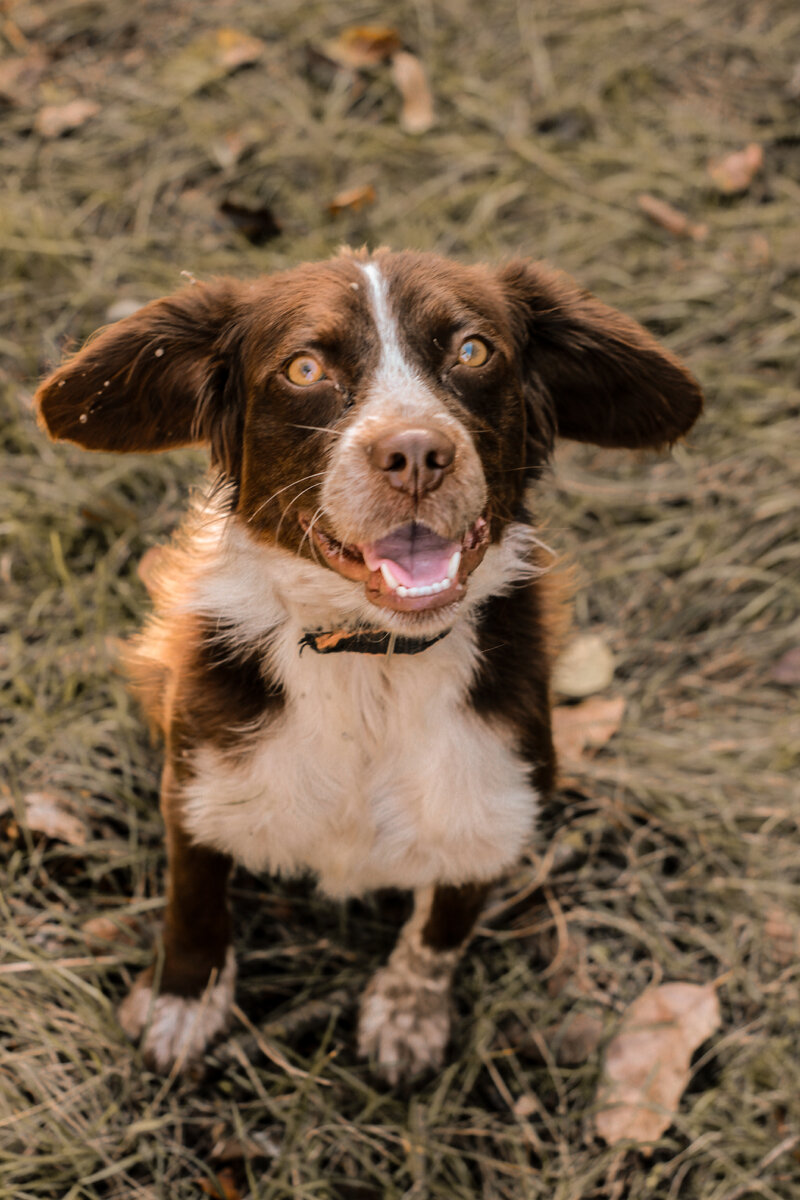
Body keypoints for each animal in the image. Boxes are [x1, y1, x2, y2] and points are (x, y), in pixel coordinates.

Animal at [35, 248, 700, 1084]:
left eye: (472, 351)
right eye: (305, 367)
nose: (416, 454)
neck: (371, 660)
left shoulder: (494, 799)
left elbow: (446, 921)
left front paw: (408, 1013)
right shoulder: (198, 777)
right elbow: (195, 897)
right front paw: (181, 1003)